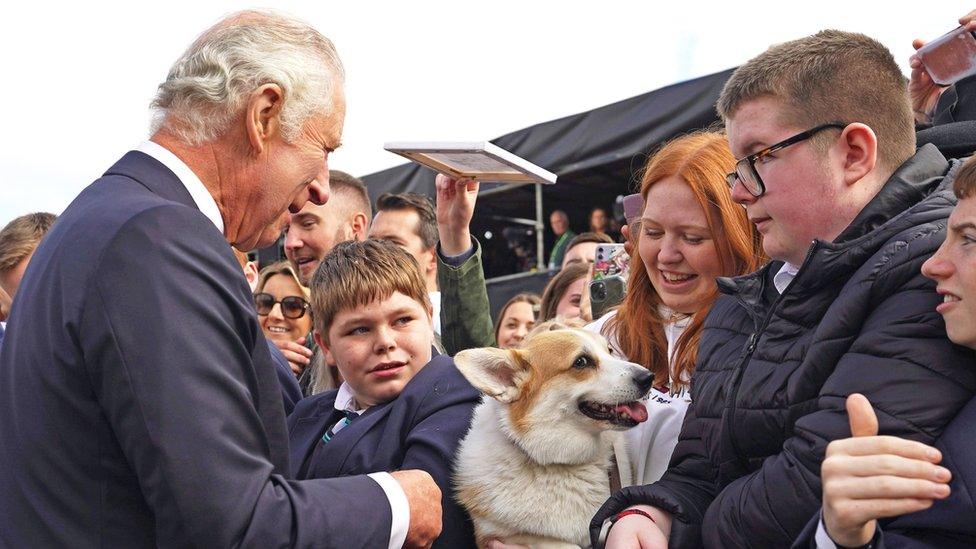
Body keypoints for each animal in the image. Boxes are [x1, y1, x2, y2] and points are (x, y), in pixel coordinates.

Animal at [452, 324, 652, 544]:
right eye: (581, 362)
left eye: (609, 351)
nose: (648, 377)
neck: (559, 462)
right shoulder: (499, 536)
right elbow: (555, 542)